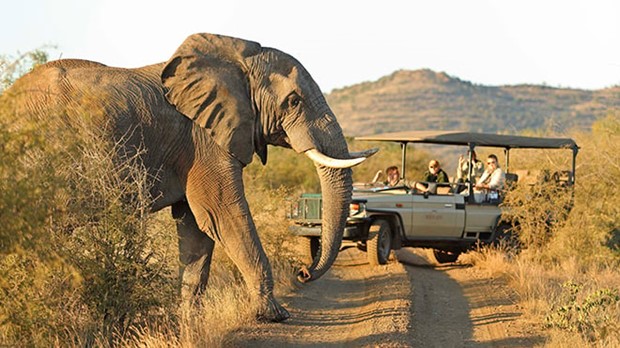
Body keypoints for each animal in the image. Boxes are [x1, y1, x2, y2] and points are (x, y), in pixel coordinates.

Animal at [4, 33, 376, 324]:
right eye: (294, 101)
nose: (303, 272)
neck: (238, 59)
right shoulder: (204, 142)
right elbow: (222, 215)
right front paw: (274, 314)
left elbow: (197, 227)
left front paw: (189, 323)